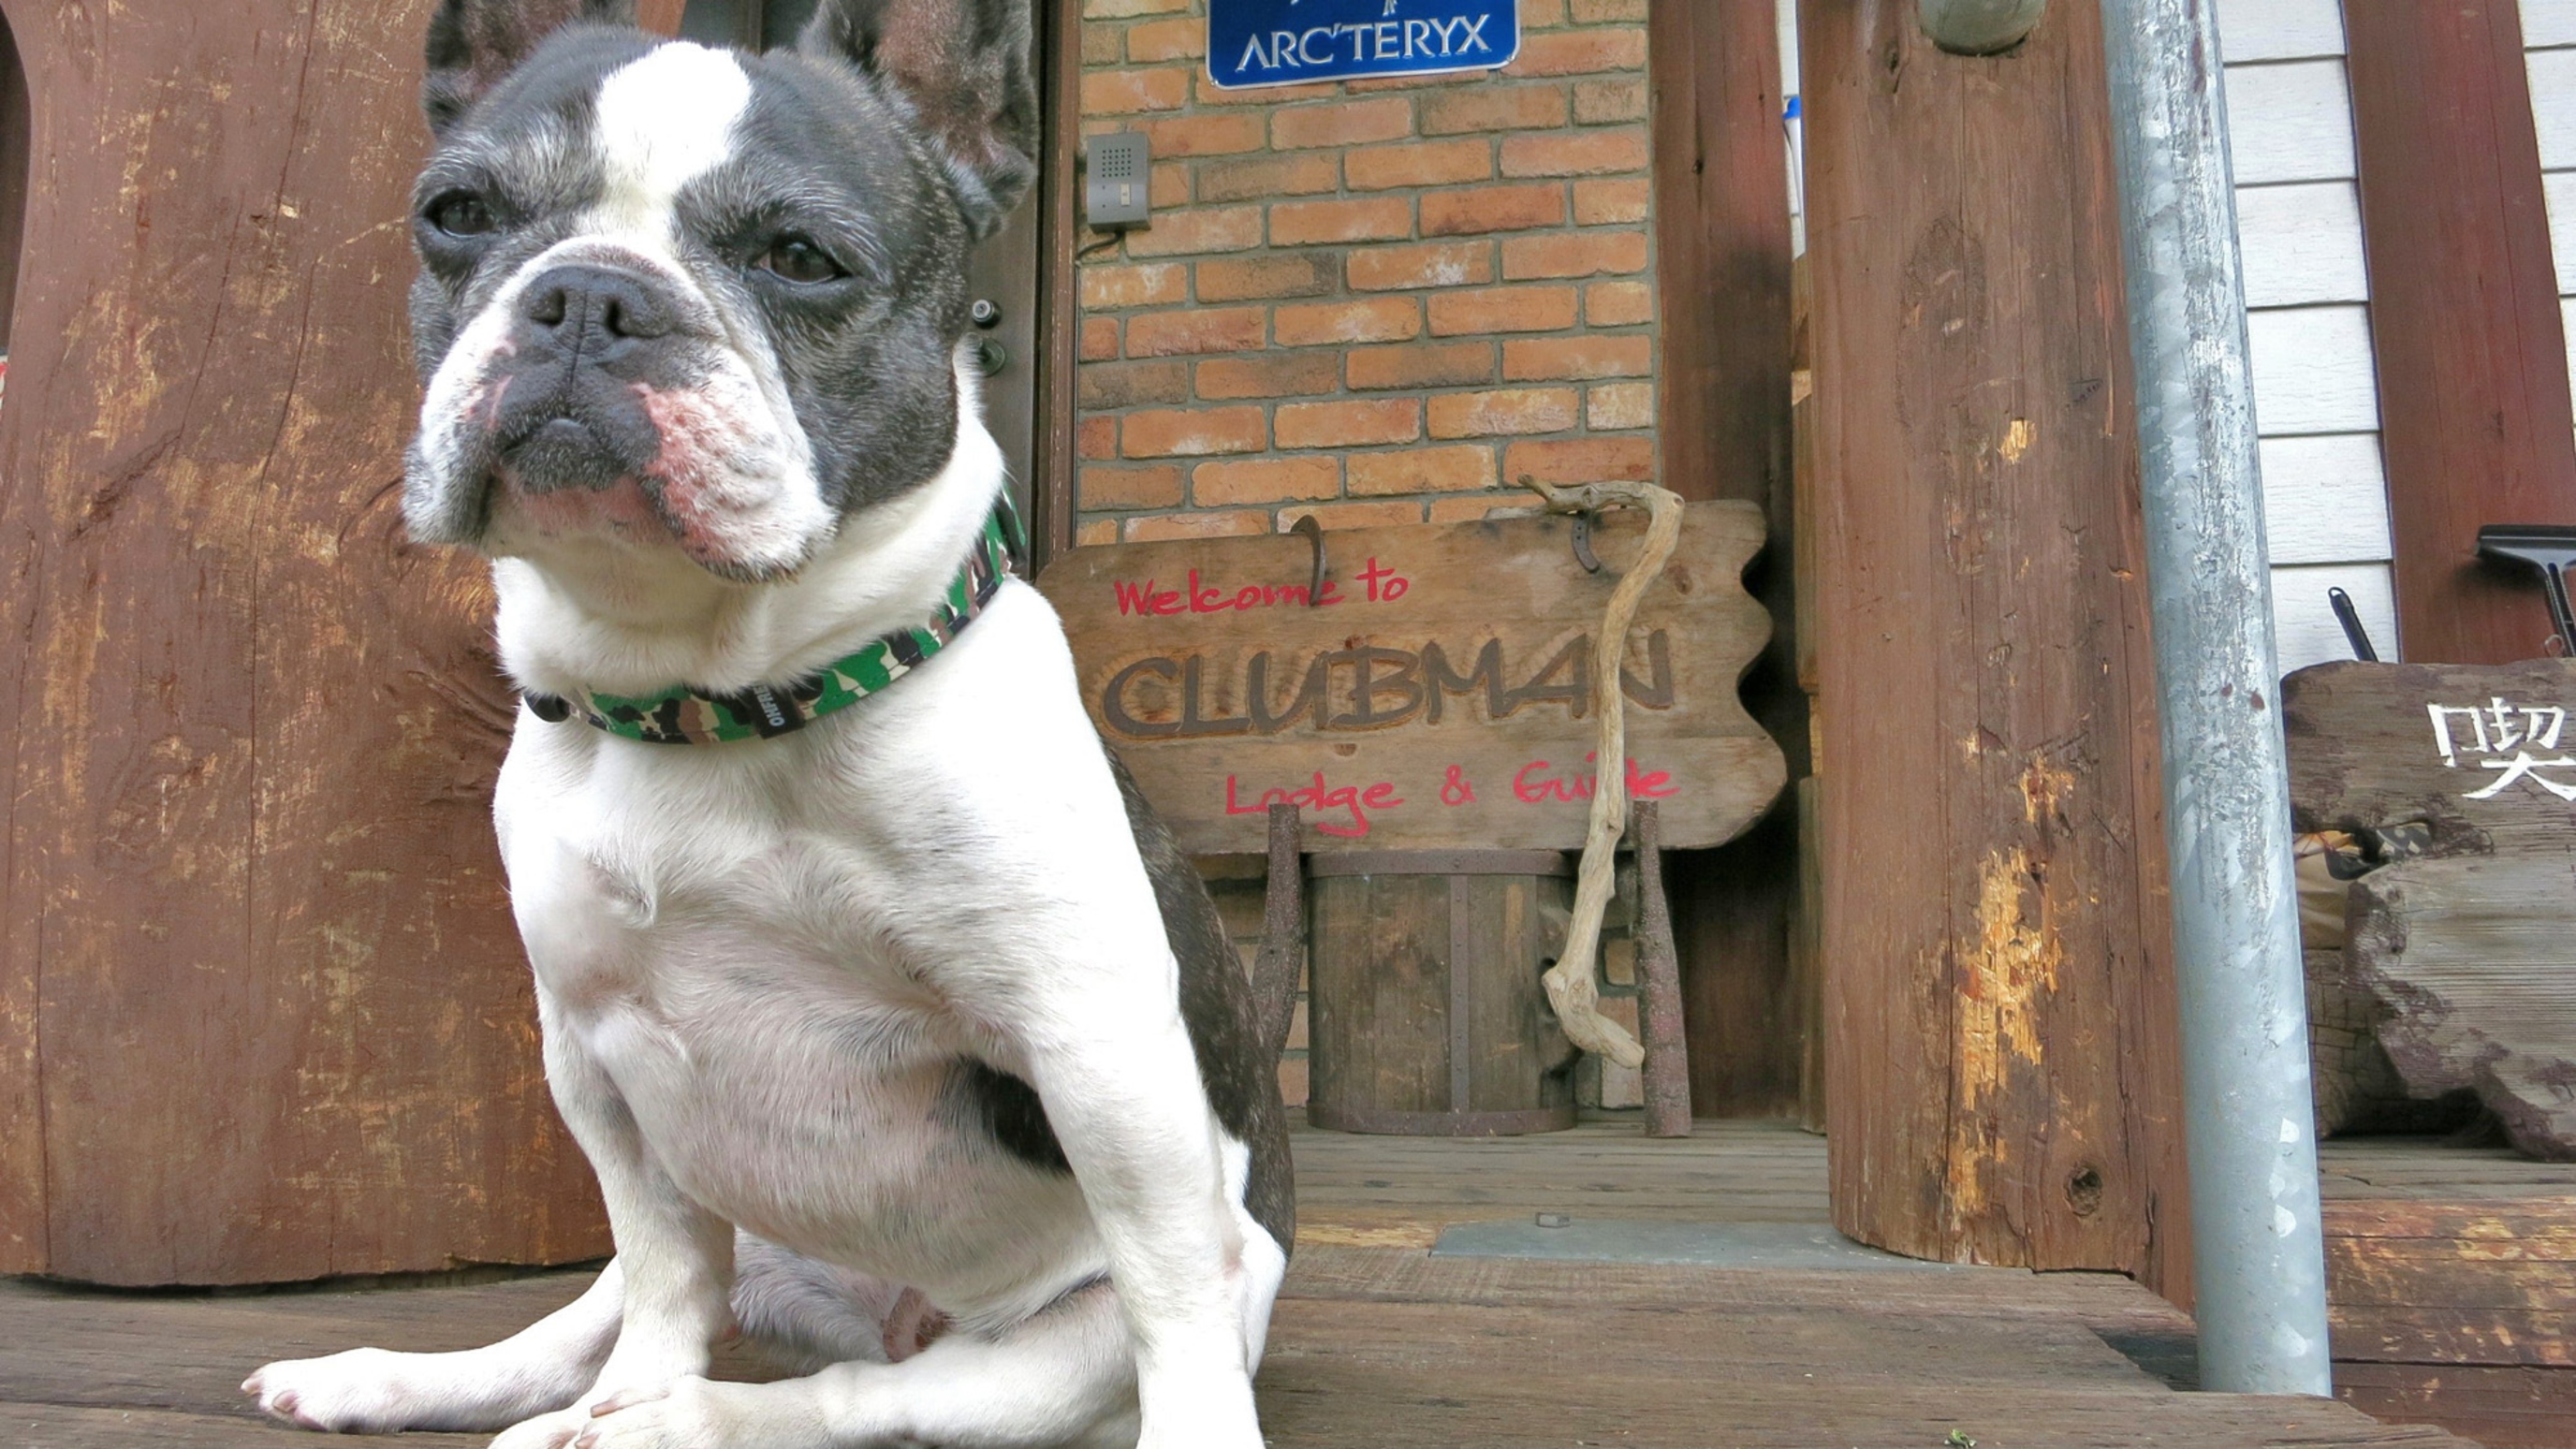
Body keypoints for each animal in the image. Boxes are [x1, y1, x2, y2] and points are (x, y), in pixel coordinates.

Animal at [242, 6, 1288, 1433]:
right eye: (458, 213)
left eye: (799, 257)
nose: (589, 297)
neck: (711, 702)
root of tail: (882, 1313)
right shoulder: (597, 1062)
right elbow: (661, 1266)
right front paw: (620, 1388)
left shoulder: (1101, 1050)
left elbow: (1169, 1297)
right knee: (602, 1318)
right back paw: (426, 1382)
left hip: (1039, 1355)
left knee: (869, 1399)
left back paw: (686, 1422)